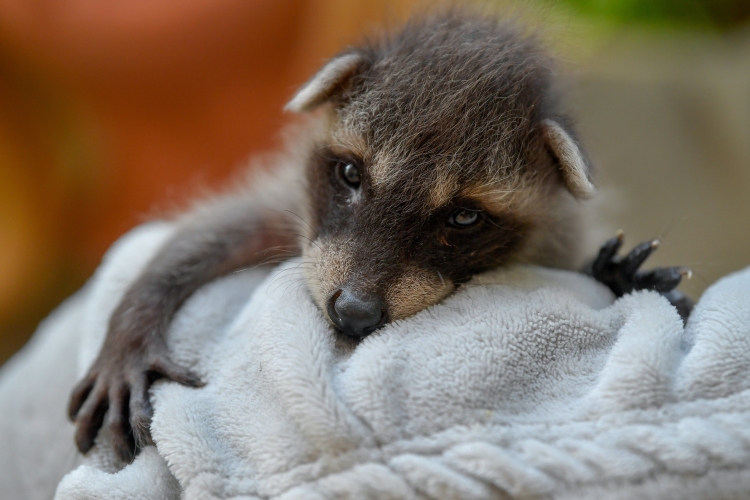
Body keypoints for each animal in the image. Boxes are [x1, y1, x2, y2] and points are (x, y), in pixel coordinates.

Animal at [67, 12, 692, 460]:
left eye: (463, 219)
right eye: (350, 174)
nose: (353, 312)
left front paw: (613, 274)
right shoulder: (296, 209)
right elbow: (210, 232)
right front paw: (134, 321)